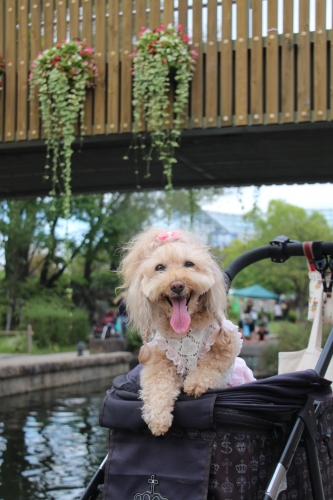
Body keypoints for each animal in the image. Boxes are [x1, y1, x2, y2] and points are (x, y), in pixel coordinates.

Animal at [118, 227, 243, 434]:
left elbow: (210, 366)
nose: (176, 285)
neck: (186, 331)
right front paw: (158, 420)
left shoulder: (226, 344)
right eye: (159, 267)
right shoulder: (160, 360)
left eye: (189, 264)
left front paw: (195, 384)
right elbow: (157, 387)